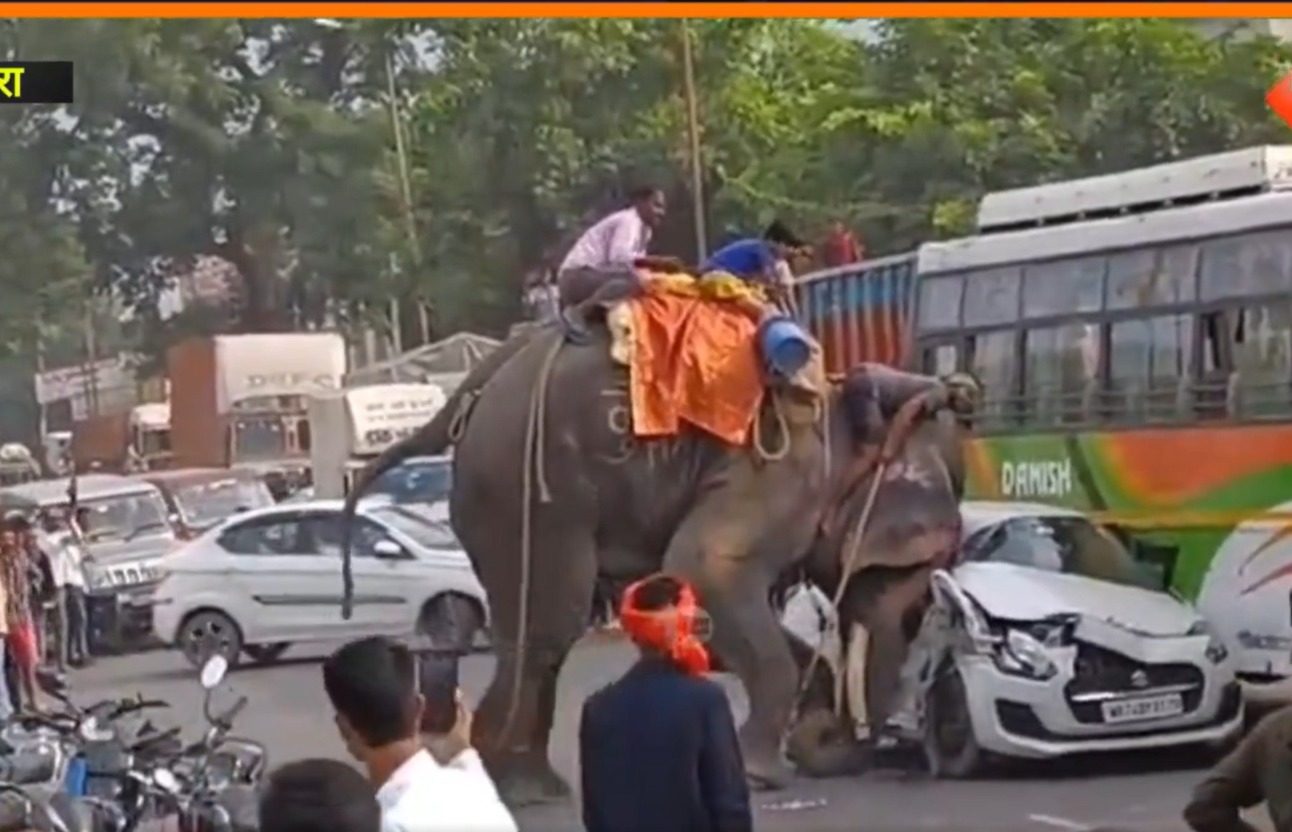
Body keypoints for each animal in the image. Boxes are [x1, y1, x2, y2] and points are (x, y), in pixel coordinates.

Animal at [341, 320, 971, 806]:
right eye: (906, 574)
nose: (838, 738)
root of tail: (474, 392)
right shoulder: (775, 471)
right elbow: (704, 571)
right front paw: (761, 775)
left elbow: (688, 603)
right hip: (528, 482)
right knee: (549, 625)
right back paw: (514, 788)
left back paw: (530, 787)